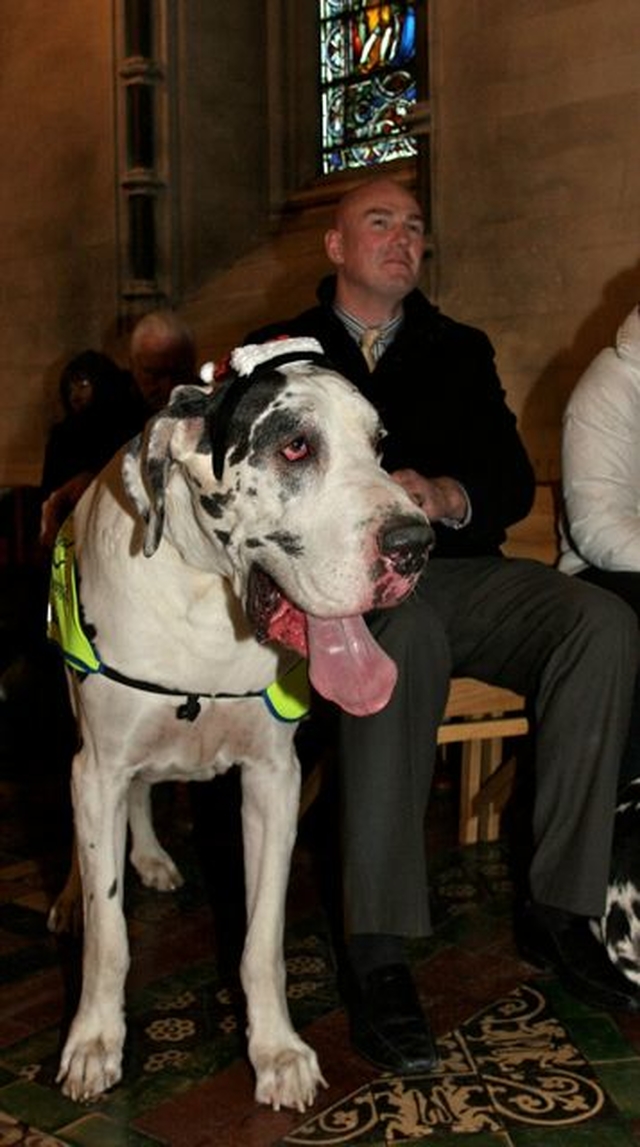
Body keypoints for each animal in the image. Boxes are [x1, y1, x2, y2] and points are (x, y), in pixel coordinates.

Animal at [47, 337, 433, 1110]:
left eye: (379, 446)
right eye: (295, 446)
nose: (416, 544)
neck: (203, 597)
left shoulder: (274, 780)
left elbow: (261, 940)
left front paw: (277, 1051)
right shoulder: (98, 768)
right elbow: (110, 935)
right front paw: (95, 1039)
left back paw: (151, 855)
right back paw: (74, 893)